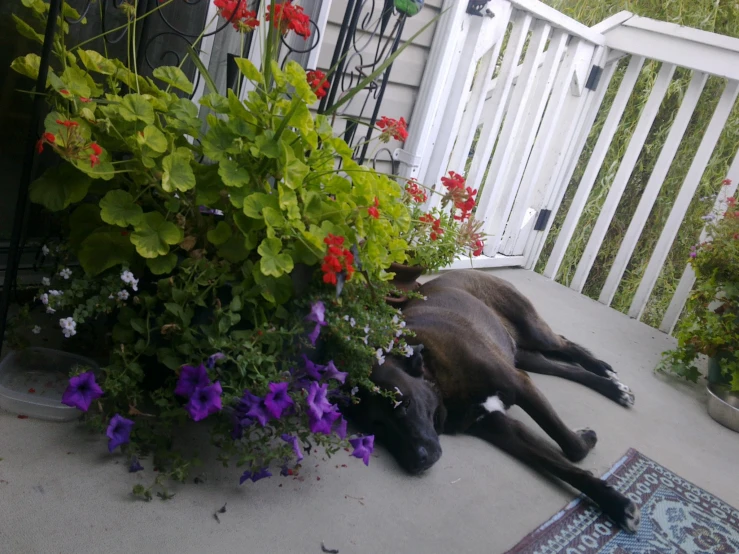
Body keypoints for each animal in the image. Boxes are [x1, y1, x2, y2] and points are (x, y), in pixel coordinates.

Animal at [346, 268, 640, 532]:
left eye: (405, 404)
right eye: (377, 427)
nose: (416, 462)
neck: (437, 377)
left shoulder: (521, 386)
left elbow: (571, 448)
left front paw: (587, 443)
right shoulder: (501, 428)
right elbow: (559, 464)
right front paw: (615, 504)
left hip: (533, 332)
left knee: (566, 345)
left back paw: (605, 371)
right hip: (524, 357)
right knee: (567, 368)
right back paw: (612, 387)